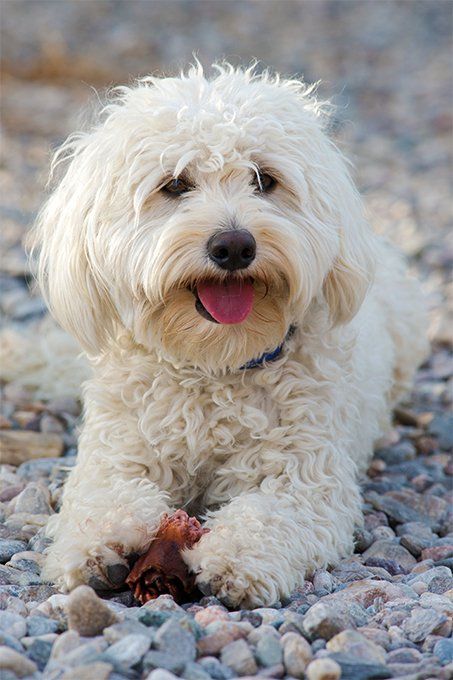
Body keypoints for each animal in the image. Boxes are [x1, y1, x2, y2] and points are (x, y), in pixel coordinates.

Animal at [31, 63, 428, 604]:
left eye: (265, 180)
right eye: (175, 184)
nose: (235, 245)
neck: (215, 363)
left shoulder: (305, 478)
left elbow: (269, 516)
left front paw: (234, 558)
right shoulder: (116, 454)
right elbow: (101, 499)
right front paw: (96, 544)